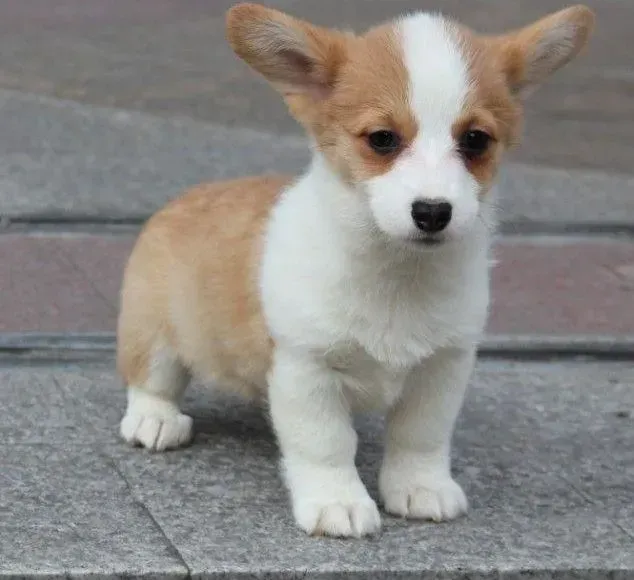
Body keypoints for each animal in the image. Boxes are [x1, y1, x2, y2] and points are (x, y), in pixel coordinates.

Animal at [117, 3, 592, 540]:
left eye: (475, 140)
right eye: (383, 139)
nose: (433, 212)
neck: (399, 273)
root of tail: (184, 197)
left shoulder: (442, 367)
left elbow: (421, 437)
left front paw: (420, 488)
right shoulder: (308, 368)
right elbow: (326, 444)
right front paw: (337, 503)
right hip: (153, 332)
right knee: (151, 378)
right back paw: (155, 420)